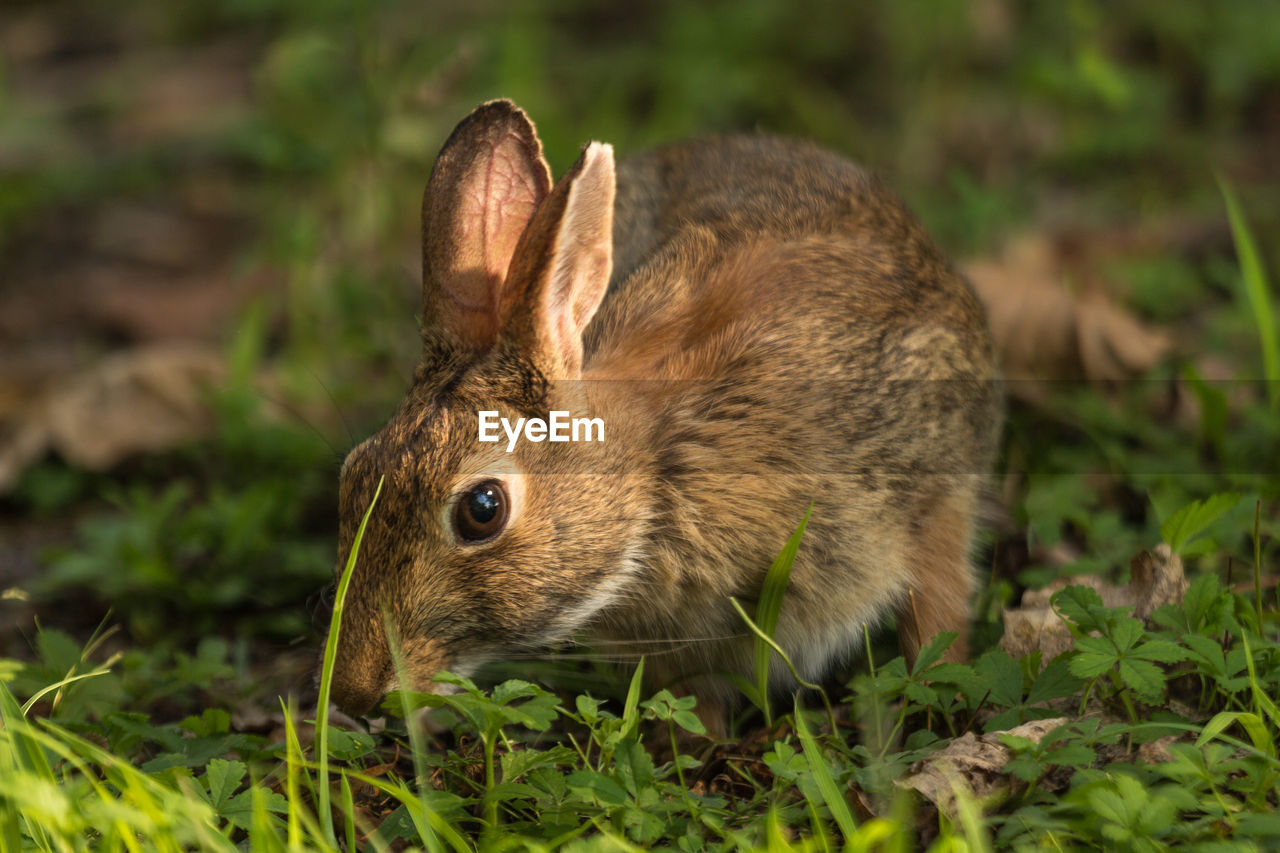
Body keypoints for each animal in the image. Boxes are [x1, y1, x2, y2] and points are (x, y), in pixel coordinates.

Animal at [327, 99, 998, 732]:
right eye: (355, 474)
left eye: (482, 509)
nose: (352, 693)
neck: (656, 473)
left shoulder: (929, 502)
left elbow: (936, 618)